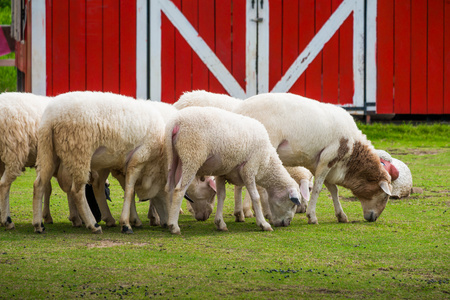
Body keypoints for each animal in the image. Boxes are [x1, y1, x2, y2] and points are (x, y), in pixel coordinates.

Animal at [163, 106, 300, 236]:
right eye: (293, 204)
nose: (287, 223)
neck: (267, 163)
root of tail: (176, 121)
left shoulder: (222, 173)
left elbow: (221, 195)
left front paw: (220, 223)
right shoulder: (249, 168)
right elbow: (255, 197)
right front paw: (263, 224)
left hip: (172, 158)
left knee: (169, 188)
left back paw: (168, 221)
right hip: (191, 155)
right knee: (179, 191)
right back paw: (174, 227)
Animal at [234, 92, 392, 224]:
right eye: (385, 196)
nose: (373, 218)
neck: (352, 148)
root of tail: (239, 110)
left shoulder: (320, 164)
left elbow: (333, 189)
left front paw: (341, 215)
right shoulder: (328, 158)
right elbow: (318, 188)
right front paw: (312, 216)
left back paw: (240, 214)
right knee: (259, 186)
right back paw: (267, 214)